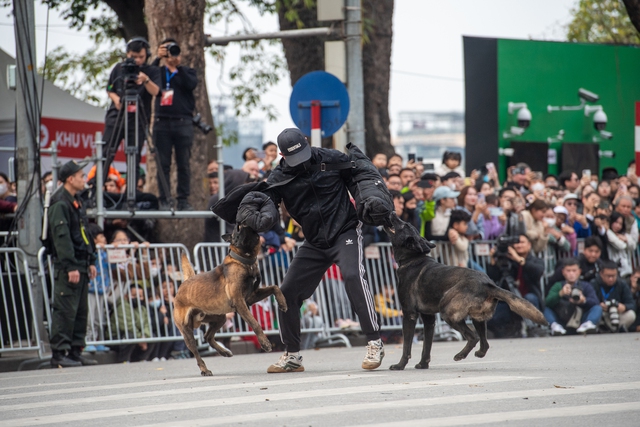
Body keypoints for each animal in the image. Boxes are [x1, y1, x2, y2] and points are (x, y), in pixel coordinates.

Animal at [174, 224, 286, 378]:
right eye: (237, 229)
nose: (245, 224)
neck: (245, 261)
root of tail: (183, 284)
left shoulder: (251, 297)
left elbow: (275, 287)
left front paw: (282, 302)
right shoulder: (240, 302)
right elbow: (255, 323)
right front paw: (265, 343)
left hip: (219, 318)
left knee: (208, 336)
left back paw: (224, 351)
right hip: (187, 331)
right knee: (196, 352)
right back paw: (204, 369)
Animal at [382, 214, 548, 372]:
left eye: (404, 225)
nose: (392, 212)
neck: (412, 259)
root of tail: (488, 284)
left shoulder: (409, 315)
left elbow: (407, 346)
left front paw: (400, 365)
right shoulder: (429, 319)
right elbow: (426, 347)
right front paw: (423, 364)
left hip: (448, 312)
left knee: (473, 337)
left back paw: (460, 355)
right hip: (477, 318)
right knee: (484, 343)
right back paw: (478, 353)